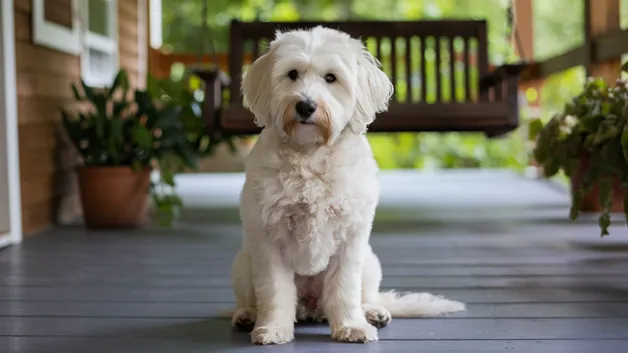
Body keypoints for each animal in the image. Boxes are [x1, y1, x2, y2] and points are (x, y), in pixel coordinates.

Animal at [231, 25, 466, 344]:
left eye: (331, 78)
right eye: (292, 74)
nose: (305, 105)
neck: (310, 154)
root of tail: (311, 308)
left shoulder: (350, 238)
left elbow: (344, 289)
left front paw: (351, 326)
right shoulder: (268, 238)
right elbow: (275, 290)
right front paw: (273, 328)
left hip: (370, 263)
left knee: (364, 295)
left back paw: (372, 312)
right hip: (243, 262)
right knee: (251, 298)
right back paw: (248, 315)